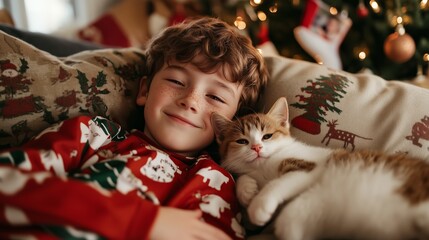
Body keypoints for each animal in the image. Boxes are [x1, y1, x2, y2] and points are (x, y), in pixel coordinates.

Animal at [210, 96, 428, 239]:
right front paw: (246, 190)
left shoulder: (311, 167)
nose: (256, 147)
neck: (263, 169)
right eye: (242, 141)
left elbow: (280, 185)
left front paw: (259, 205)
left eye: (267, 136)